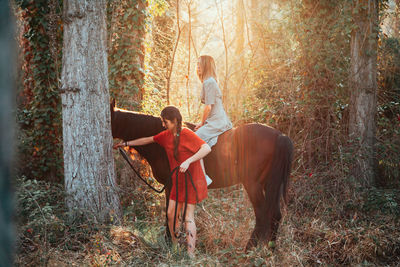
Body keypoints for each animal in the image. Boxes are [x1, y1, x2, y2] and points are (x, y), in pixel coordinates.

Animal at [110, 101, 294, 250]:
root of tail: (280, 136)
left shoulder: (171, 185)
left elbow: (170, 213)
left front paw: (169, 242)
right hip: (270, 184)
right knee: (275, 214)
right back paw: (270, 249)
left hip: (253, 184)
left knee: (262, 214)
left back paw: (248, 250)